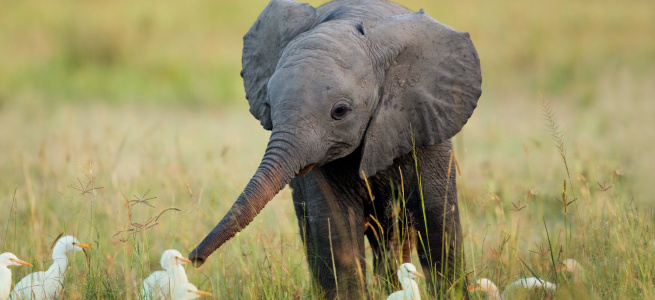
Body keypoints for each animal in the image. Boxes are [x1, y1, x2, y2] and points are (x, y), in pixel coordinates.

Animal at [190, 0, 482, 298]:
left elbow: (436, 218)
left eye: (339, 111)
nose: (194, 259)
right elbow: (337, 228)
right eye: (269, 106)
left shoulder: (425, 121)